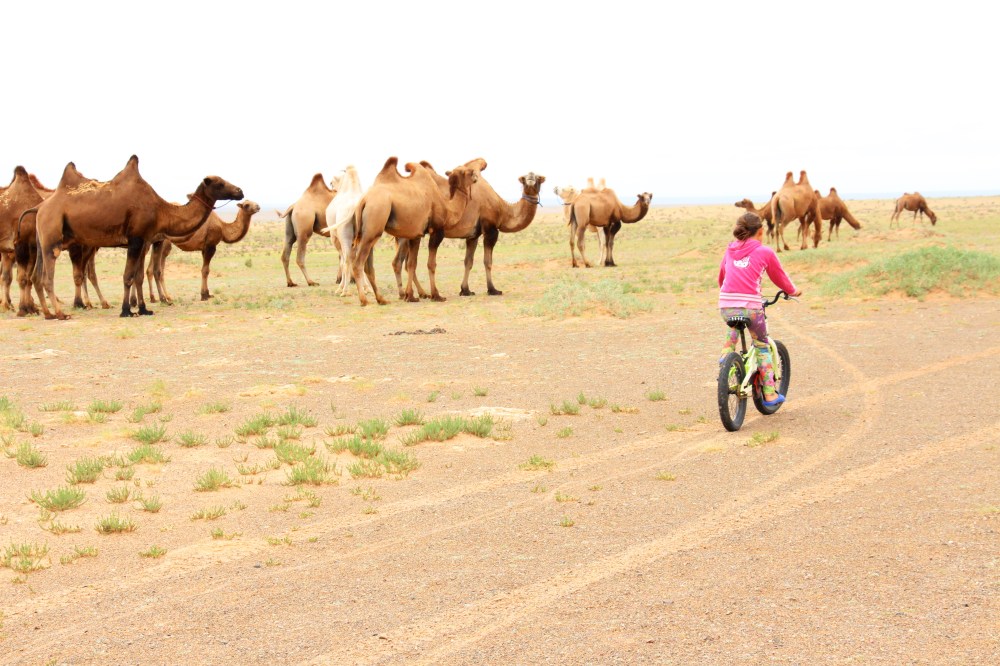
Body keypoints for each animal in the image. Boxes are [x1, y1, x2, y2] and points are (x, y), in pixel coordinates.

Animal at [28, 155, 243, 319]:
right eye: (220, 183)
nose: (239, 191)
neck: (160, 209)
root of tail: (41, 207)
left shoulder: (145, 240)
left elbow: (138, 276)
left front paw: (144, 308)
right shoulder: (135, 240)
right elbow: (128, 276)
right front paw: (126, 310)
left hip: (42, 239)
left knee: (36, 276)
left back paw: (48, 314)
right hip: (52, 236)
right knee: (48, 277)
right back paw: (61, 314)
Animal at [350, 157, 479, 306]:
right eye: (469, 172)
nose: (476, 176)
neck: (448, 207)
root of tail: (363, 201)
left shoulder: (416, 235)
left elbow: (412, 264)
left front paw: (410, 296)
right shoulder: (437, 232)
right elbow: (431, 264)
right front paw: (436, 295)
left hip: (368, 232)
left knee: (369, 266)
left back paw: (381, 299)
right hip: (375, 221)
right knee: (358, 263)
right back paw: (364, 300)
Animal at [391, 161, 544, 300]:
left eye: (538, 178)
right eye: (524, 179)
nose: (531, 177)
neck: (502, 209)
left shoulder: (473, 235)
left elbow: (468, 262)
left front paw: (465, 290)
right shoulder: (490, 229)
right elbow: (487, 261)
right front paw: (493, 289)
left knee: (403, 262)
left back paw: (417, 294)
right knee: (402, 262)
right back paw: (408, 294)